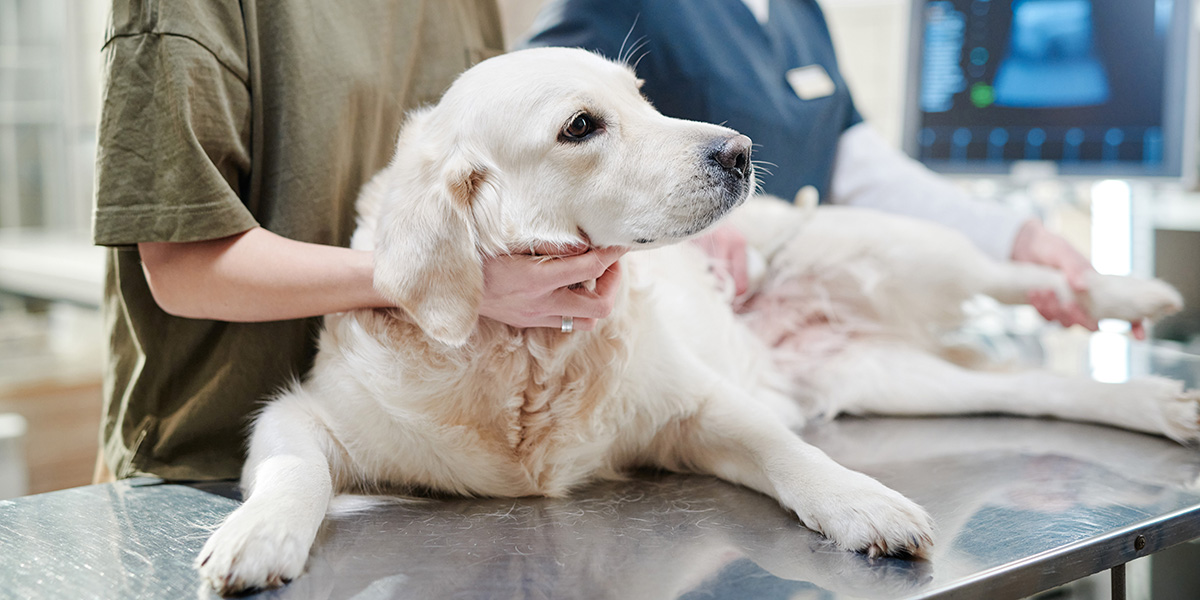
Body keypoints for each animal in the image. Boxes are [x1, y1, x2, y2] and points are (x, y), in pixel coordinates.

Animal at [196, 48, 1190, 595]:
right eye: (582, 125)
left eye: (642, 96)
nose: (740, 150)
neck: (529, 354)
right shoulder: (305, 413)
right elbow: (293, 470)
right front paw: (258, 535)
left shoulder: (698, 408)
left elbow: (795, 456)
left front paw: (862, 502)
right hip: (895, 379)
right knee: (1041, 384)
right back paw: (1160, 404)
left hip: (893, 247)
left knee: (1013, 270)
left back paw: (1130, 295)